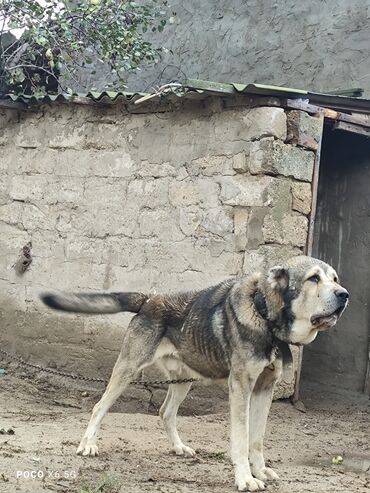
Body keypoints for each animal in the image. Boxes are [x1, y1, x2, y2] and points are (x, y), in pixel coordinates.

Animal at [42, 256, 348, 490]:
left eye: (335, 278)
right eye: (313, 279)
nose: (344, 294)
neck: (265, 316)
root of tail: (150, 299)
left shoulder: (265, 388)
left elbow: (257, 439)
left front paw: (260, 471)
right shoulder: (241, 387)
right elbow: (241, 439)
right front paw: (245, 479)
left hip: (183, 381)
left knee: (165, 412)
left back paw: (179, 447)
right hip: (127, 370)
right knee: (99, 406)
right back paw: (88, 445)